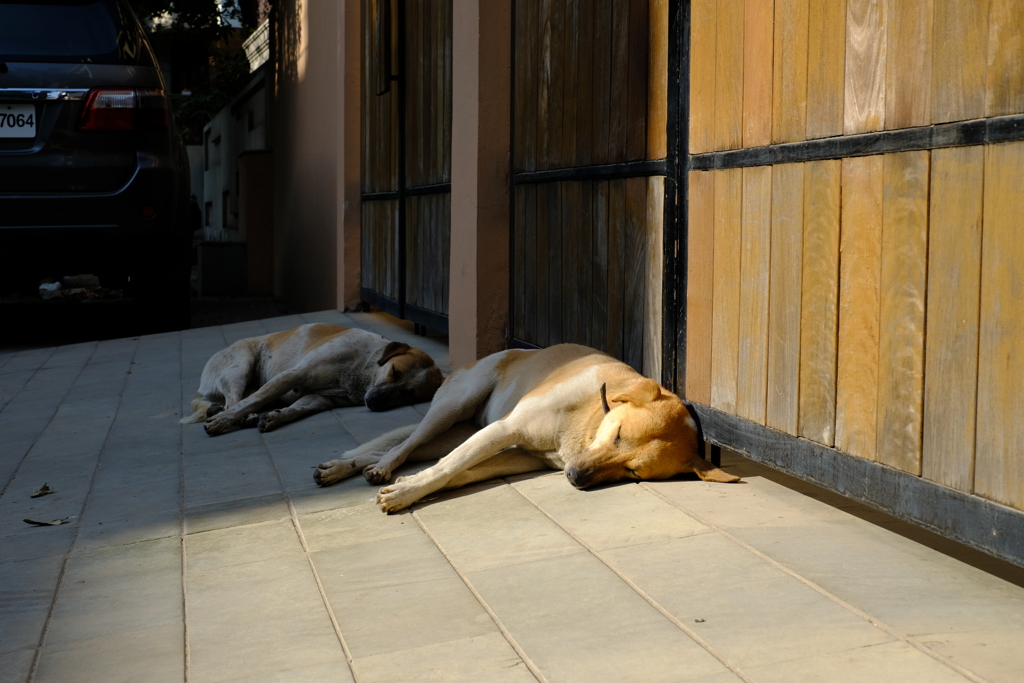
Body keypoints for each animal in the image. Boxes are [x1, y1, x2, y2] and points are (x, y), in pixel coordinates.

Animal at [183, 323, 444, 436]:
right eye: (394, 372)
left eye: (408, 393)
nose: (375, 402)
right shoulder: (294, 374)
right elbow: (254, 400)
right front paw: (224, 421)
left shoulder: (322, 398)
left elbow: (298, 408)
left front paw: (275, 418)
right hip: (239, 366)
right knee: (236, 400)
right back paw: (232, 415)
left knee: (230, 401)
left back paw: (220, 411)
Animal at [311, 342, 737, 511]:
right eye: (617, 435)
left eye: (633, 472)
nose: (575, 477)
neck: (587, 419)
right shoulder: (504, 430)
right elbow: (447, 468)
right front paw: (405, 492)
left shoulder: (516, 456)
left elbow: (455, 472)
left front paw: (407, 487)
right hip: (454, 407)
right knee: (404, 445)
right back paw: (379, 468)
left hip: (460, 430)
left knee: (400, 448)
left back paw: (342, 468)